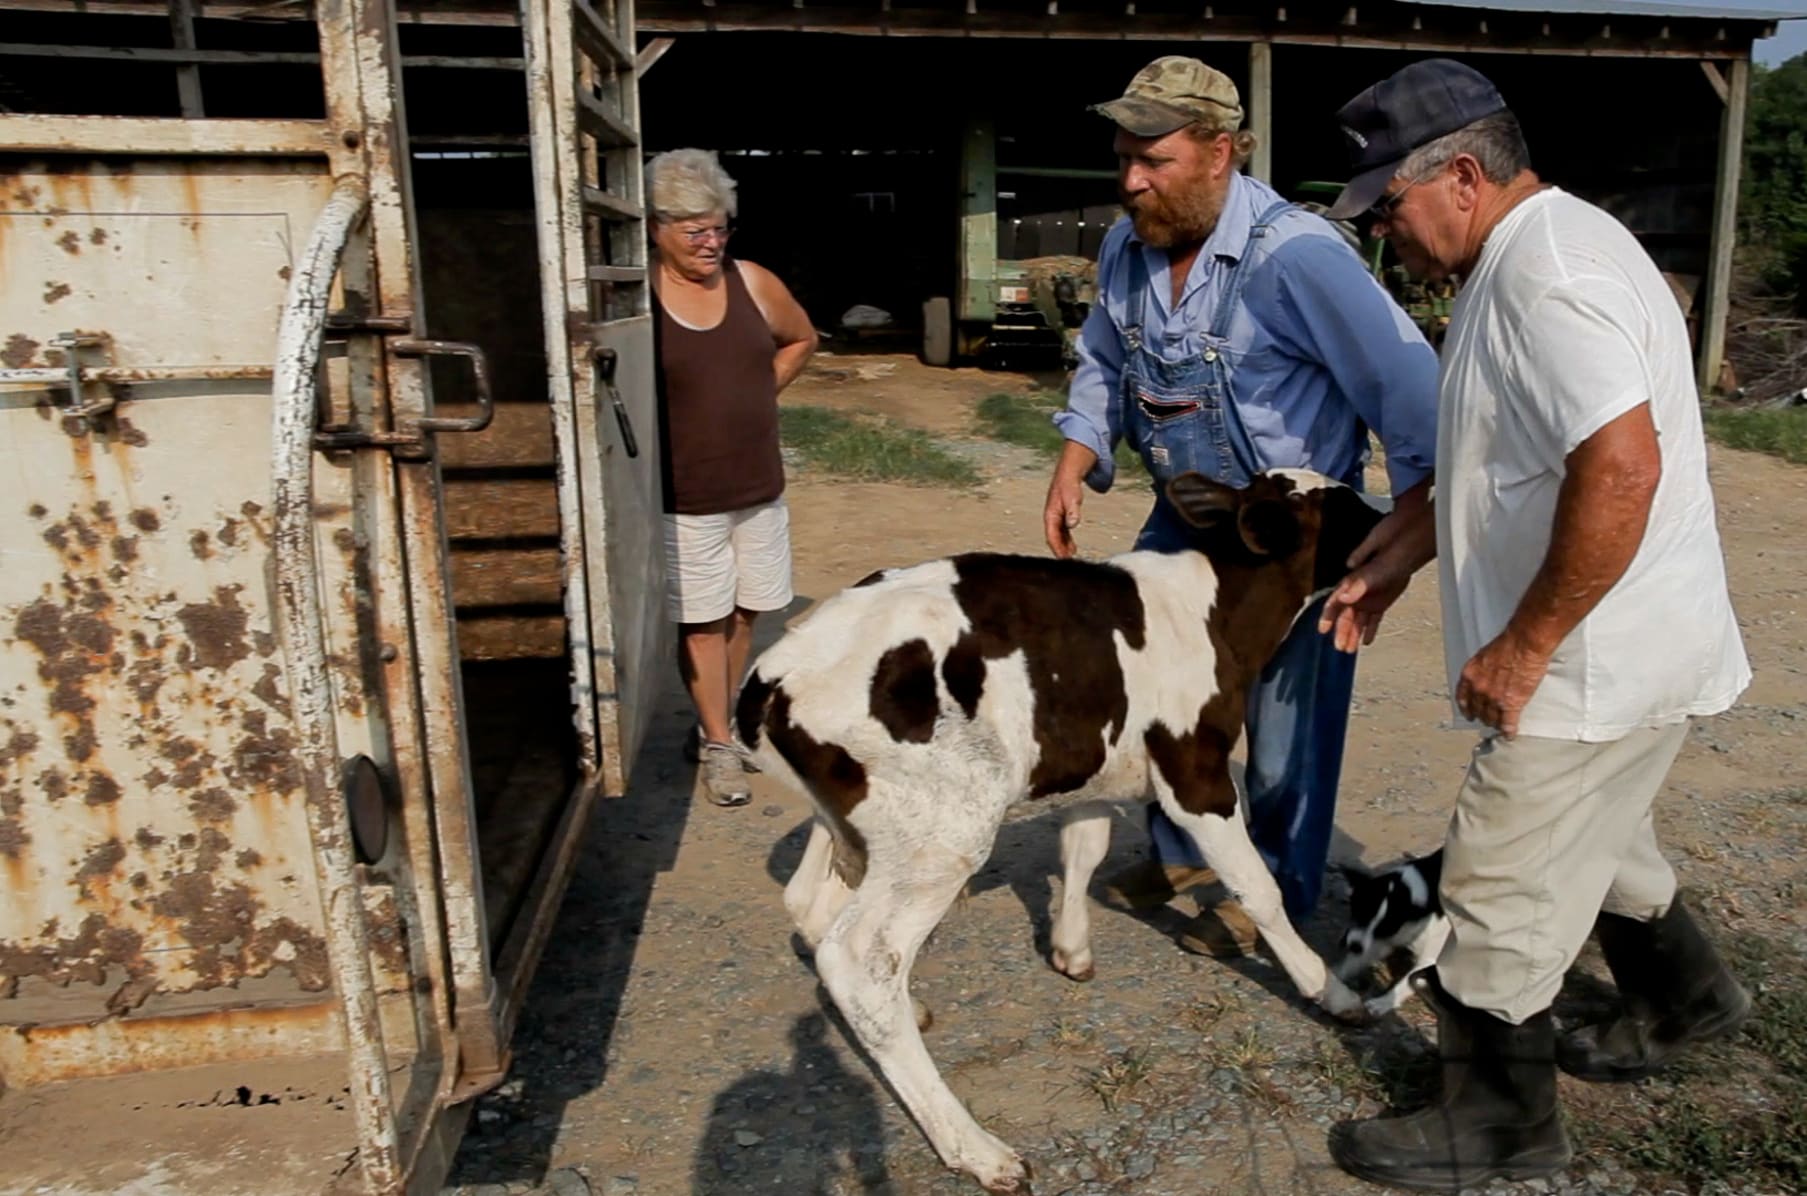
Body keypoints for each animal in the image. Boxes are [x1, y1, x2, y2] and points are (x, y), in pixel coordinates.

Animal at [740, 473, 1387, 1192]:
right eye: (1344, 503)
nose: (1392, 517)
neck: (1214, 609)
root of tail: (774, 674)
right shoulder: (1196, 774)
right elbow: (1259, 888)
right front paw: (1329, 990)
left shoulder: (1096, 764)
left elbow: (1084, 849)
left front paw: (1070, 949)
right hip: (944, 832)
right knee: (860, 959)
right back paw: (976, 1149)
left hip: (861, 830)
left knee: (811, 906)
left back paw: (915, 1015)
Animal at [1344, 852, 1452, 1011]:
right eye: (1359, 913)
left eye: (1385, 927)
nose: (1354, 946)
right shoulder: (1384, 941)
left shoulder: (1429, 959)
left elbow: (1406, 982)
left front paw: (1383, 1003)